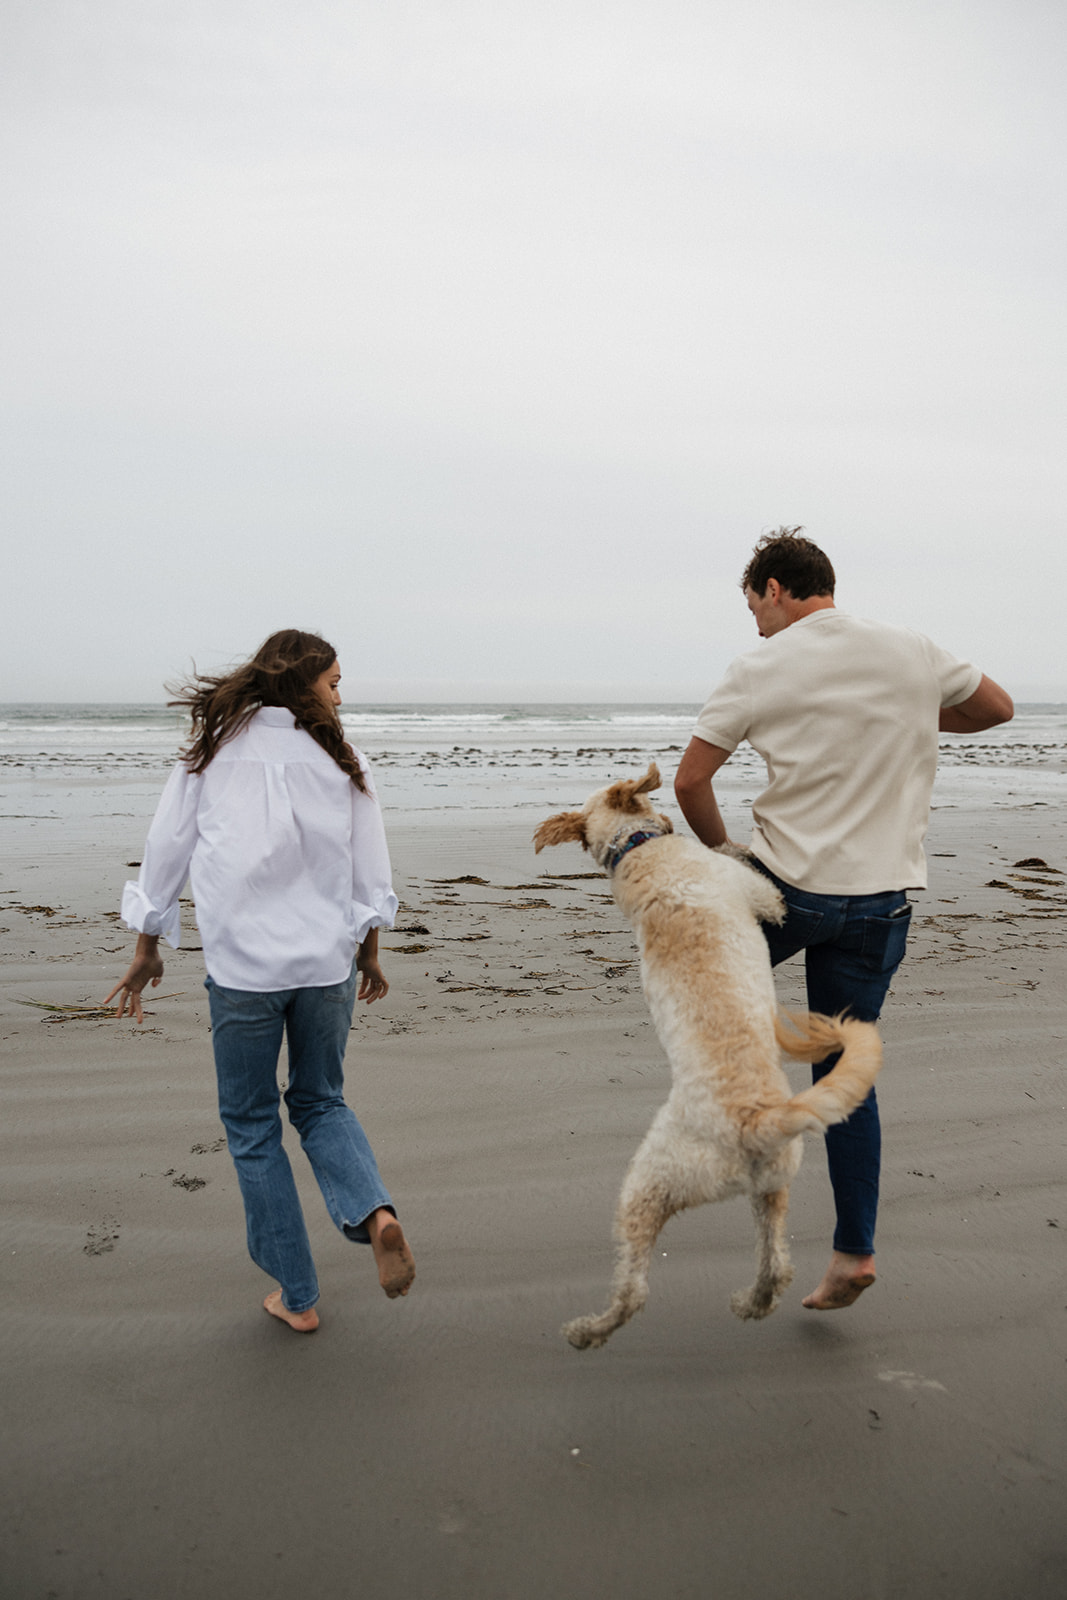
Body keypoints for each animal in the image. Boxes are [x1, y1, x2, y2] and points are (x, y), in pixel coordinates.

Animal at [534, 761, 883, 1350]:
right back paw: (589, 1330)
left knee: (775, 1266)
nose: (671, 824)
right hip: (651, 1183)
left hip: (768, 1189)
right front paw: (732, 842)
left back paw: (749, 1303)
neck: (638, 852)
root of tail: (757, 1119)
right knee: (634, 1291)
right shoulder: (761, 896)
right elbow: (752, 876)